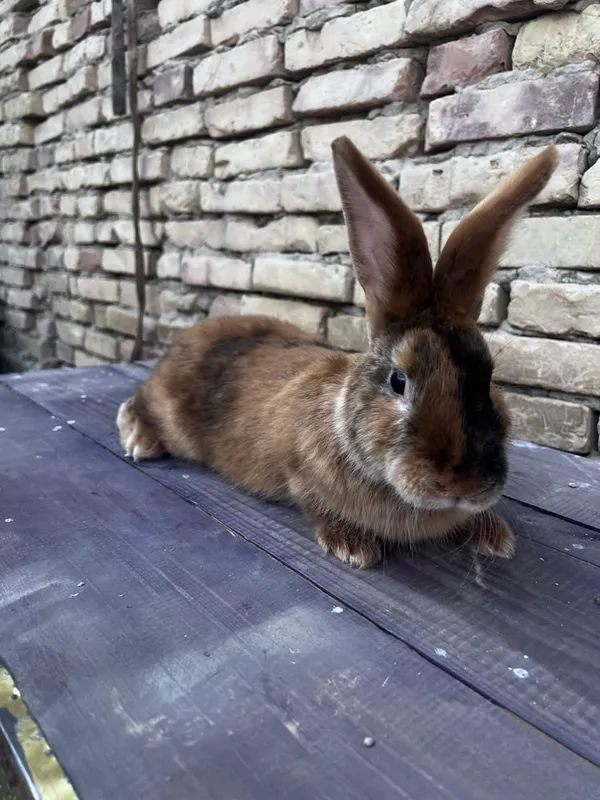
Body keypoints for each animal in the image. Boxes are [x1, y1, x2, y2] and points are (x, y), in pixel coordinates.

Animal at [117, 137, 558, 569]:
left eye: (489, 377)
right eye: (399, 381)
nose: (463, 484)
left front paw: (496, 537)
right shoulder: (297, 471)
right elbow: (314, 504)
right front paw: (352, 546)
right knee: (140, 402)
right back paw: (139, 438)